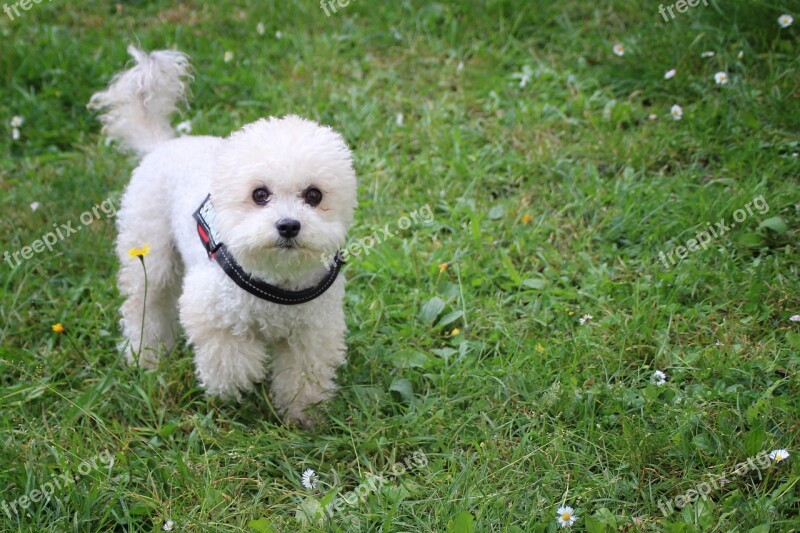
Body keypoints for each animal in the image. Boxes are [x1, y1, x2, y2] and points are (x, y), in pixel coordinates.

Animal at [88, 46, 360, 428]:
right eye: (260, 195)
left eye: (314, 195)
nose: (288, 226)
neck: (275, 279)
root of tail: (164, 144)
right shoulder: (209, 307)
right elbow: (230, 357)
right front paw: (238, 381)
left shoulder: (313, 330)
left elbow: (303, 375)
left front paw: (302, 415)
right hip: (149, 250)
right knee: (145, 305)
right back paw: (146, 354)